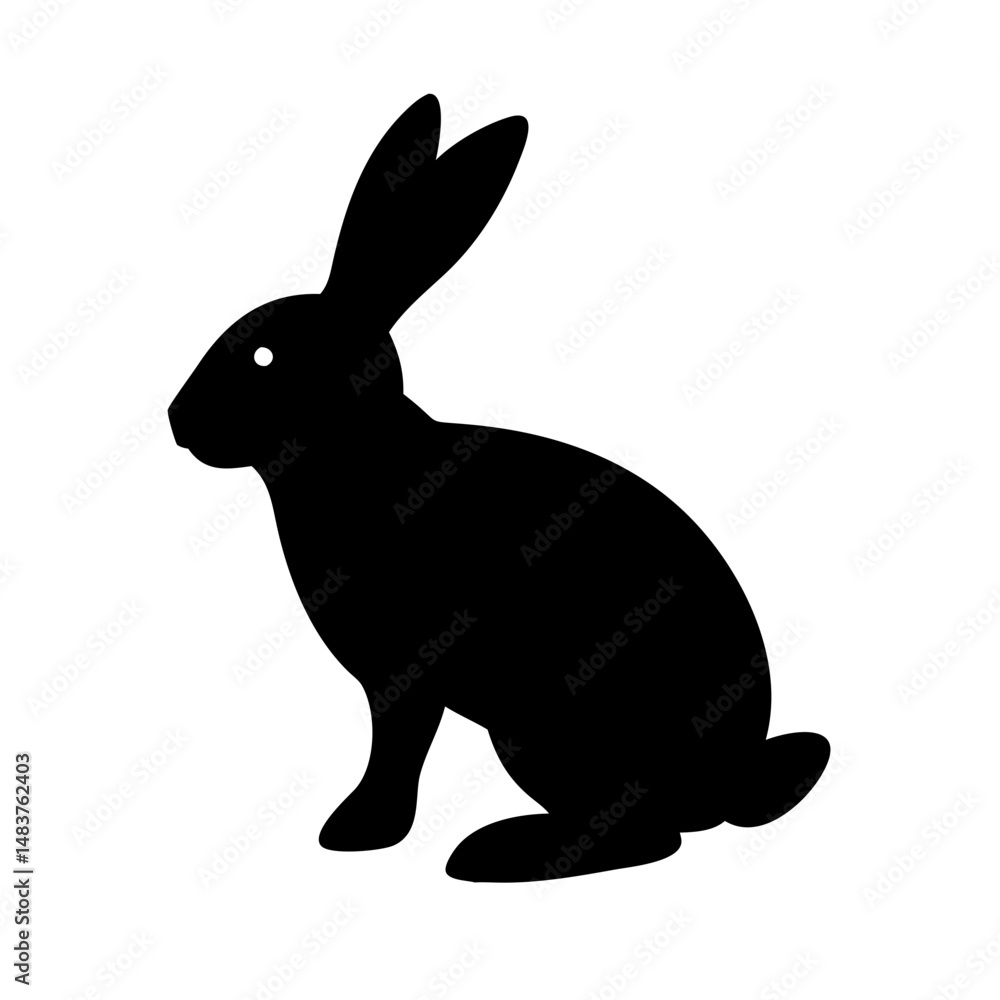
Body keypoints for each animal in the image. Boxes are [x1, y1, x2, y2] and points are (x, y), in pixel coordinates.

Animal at [168, 94, 830, 882]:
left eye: (266, 357)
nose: (176, 420)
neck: (357, 457)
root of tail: (727, 784)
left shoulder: (405, 675)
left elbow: (397, 748)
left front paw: (358, 830)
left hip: (541, 729)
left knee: (646, 834)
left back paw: (497, 853)